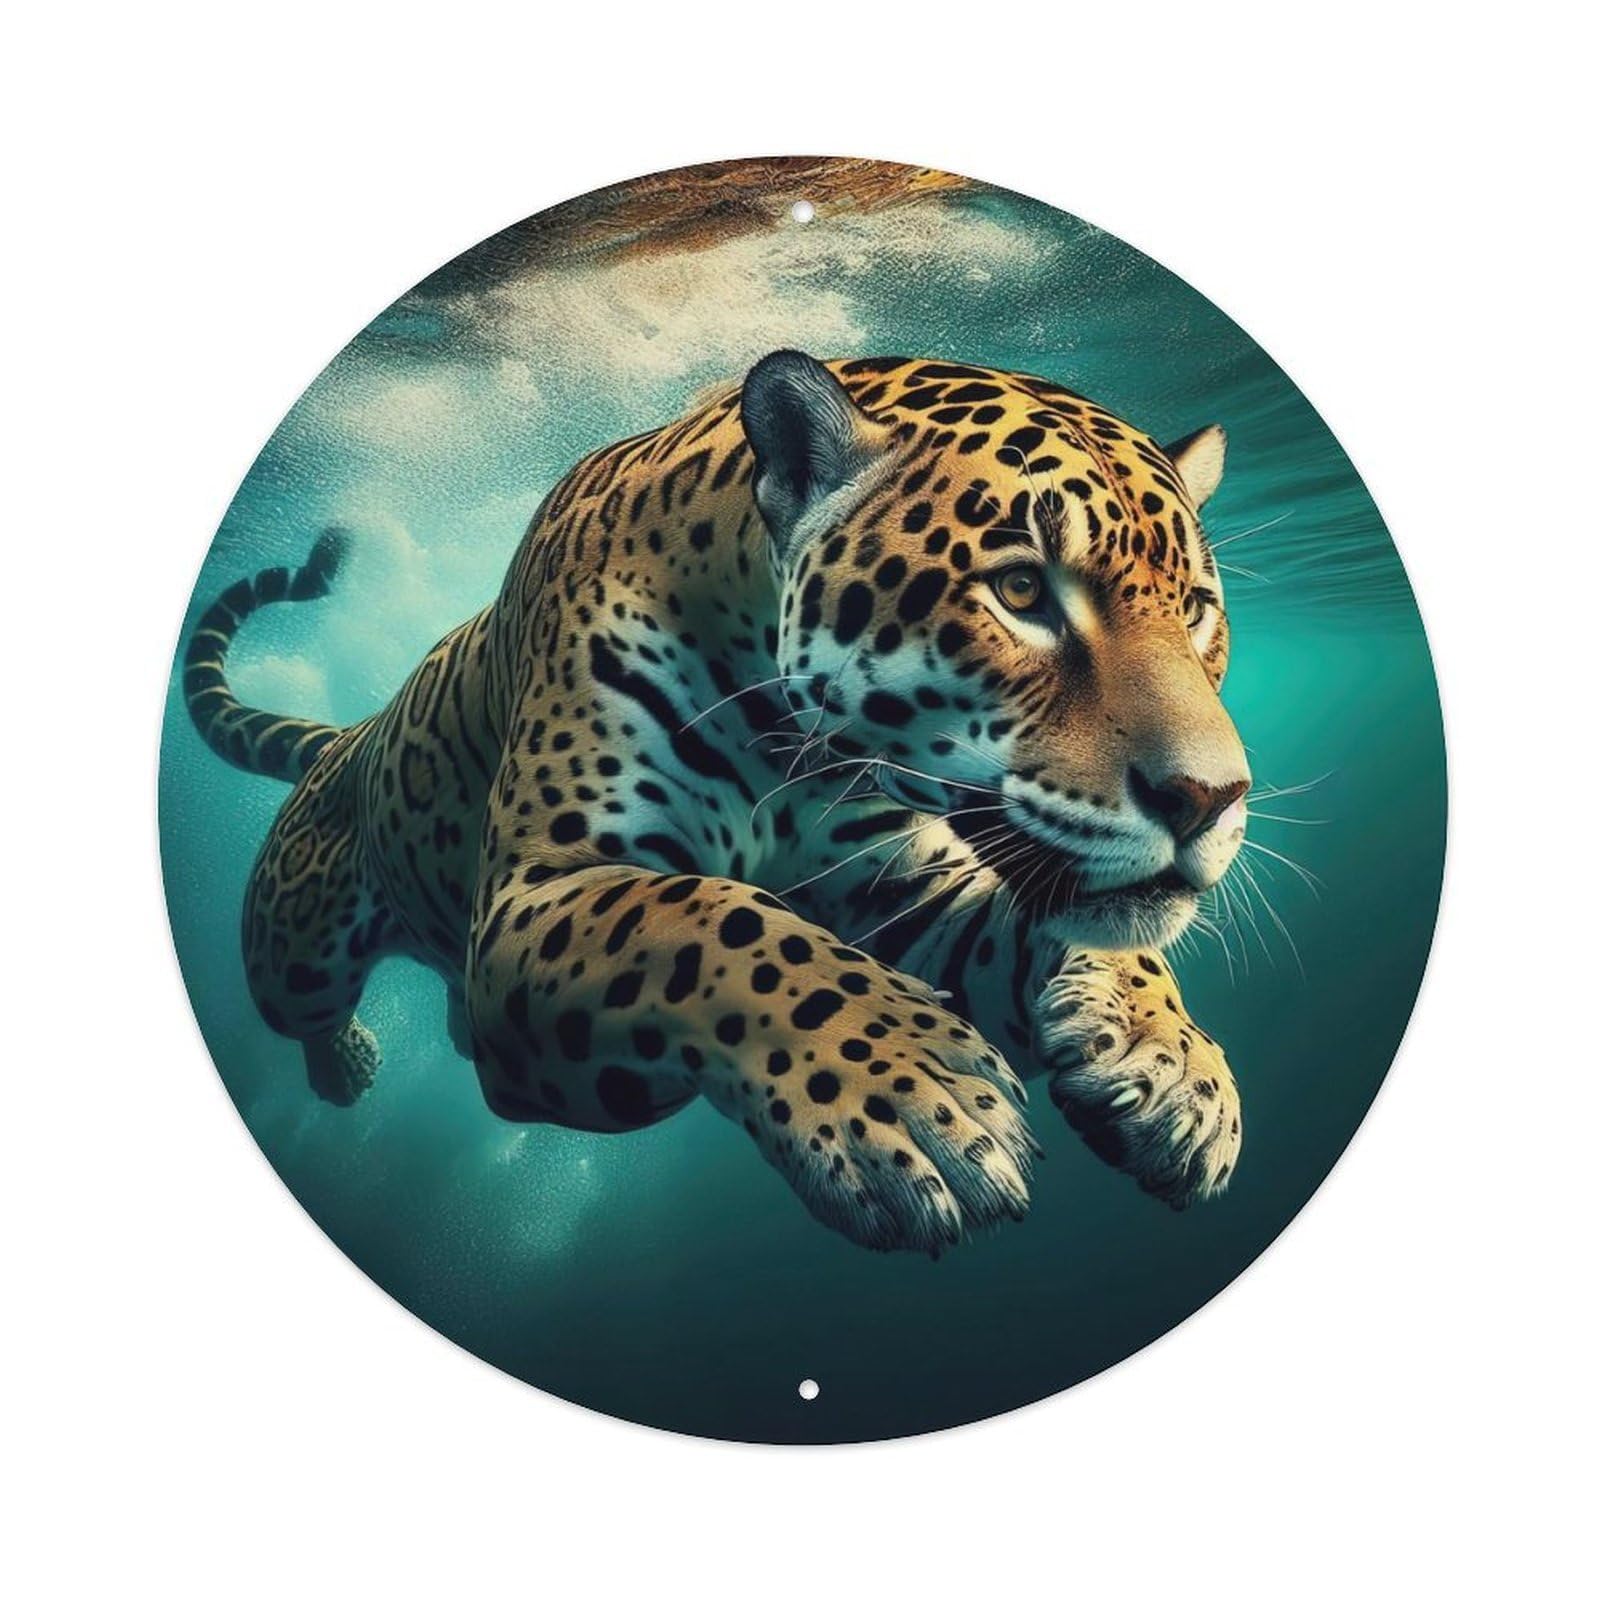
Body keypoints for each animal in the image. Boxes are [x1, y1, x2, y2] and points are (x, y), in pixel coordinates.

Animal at [182, 351, 1252, 1254]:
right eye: (1021, 589)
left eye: (1195, 608)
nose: (1210, 799)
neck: (801, 754)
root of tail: (348, 739)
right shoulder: (534, 893)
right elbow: (714, 922)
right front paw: (915, 1098)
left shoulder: (902, 888)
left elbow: (1074, 932)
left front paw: (1173, 1065)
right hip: (294, 951)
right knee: (301, 1002)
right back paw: (345, 1065)